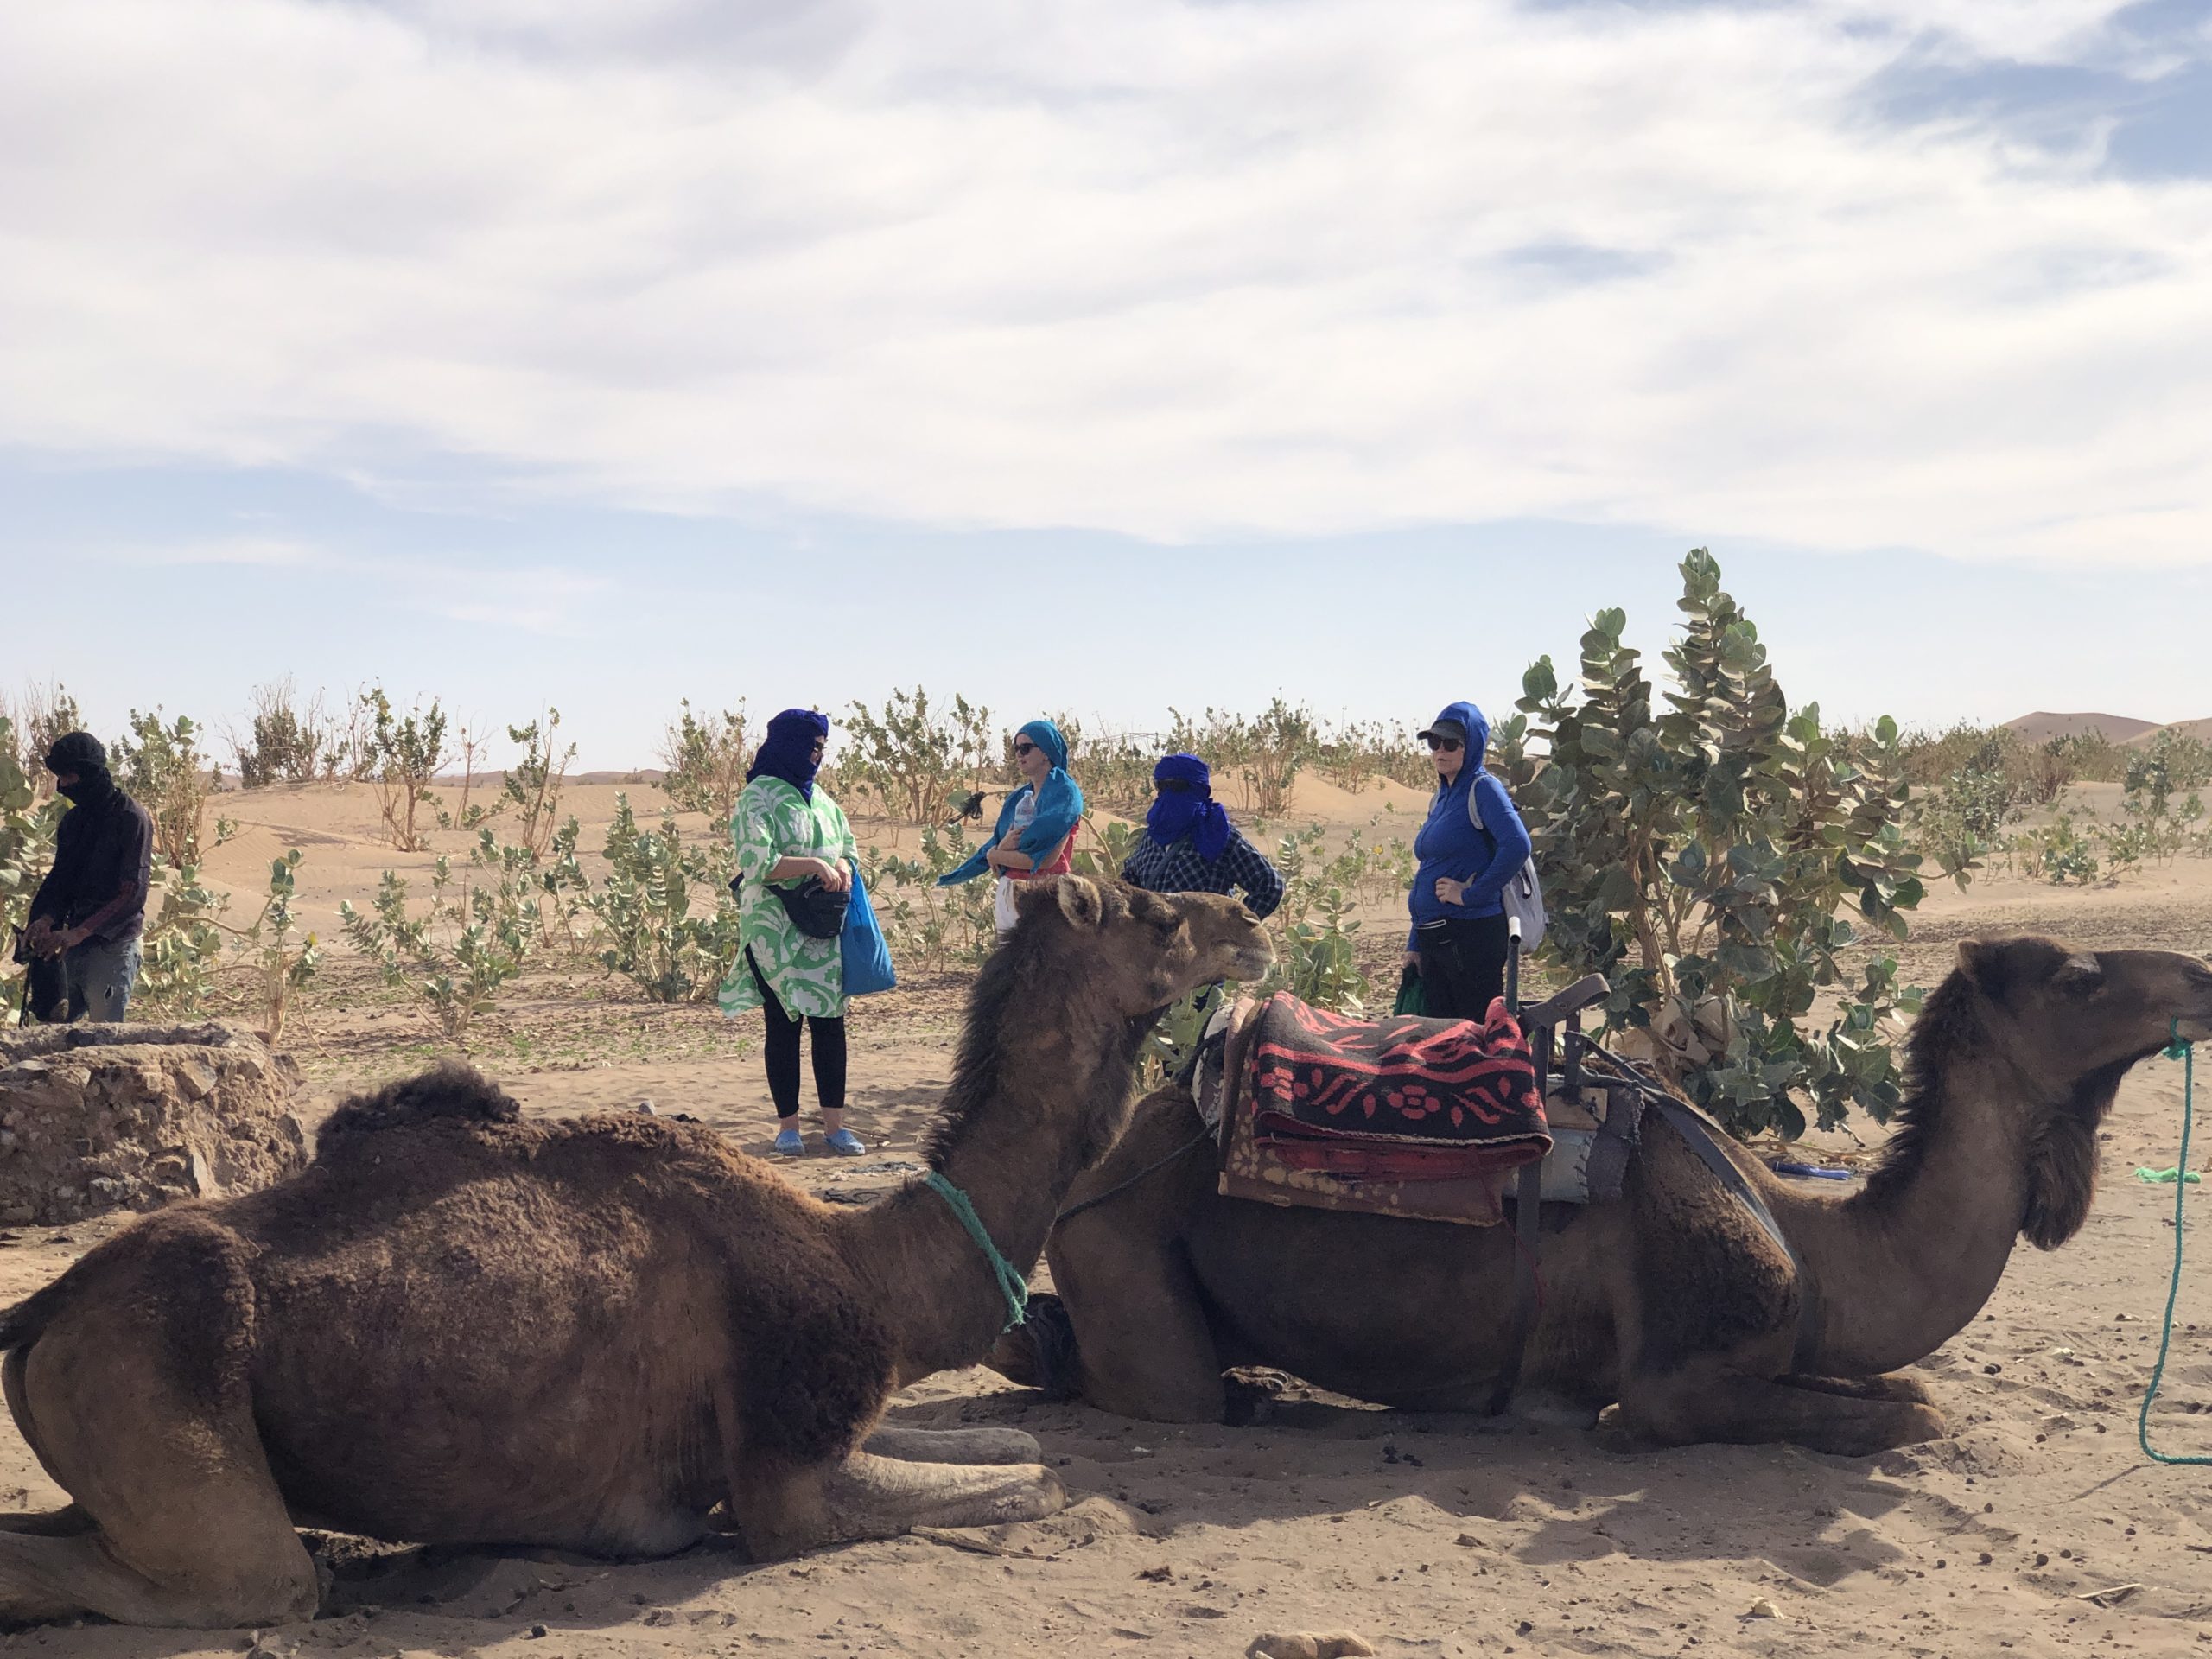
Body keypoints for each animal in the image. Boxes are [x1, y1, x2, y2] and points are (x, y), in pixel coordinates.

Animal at [0, 875, 1274, 1628]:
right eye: (1160, 911)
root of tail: (46, 1310)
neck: (869, 1264)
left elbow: (1014, 1446)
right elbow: (1038, 1488)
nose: (1256, 921)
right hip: (174, 1400)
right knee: (250, 1578)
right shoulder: (787, 1480)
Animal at [990, 942, 2212, 1459]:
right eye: (2077, 978)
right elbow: (1912, 1414)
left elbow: (1905, 1389)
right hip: (1123, 1255)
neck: (1810, 1239)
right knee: (1155, 1387)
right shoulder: (1680, 1379)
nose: (2200, 974)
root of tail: (1095, 1175)